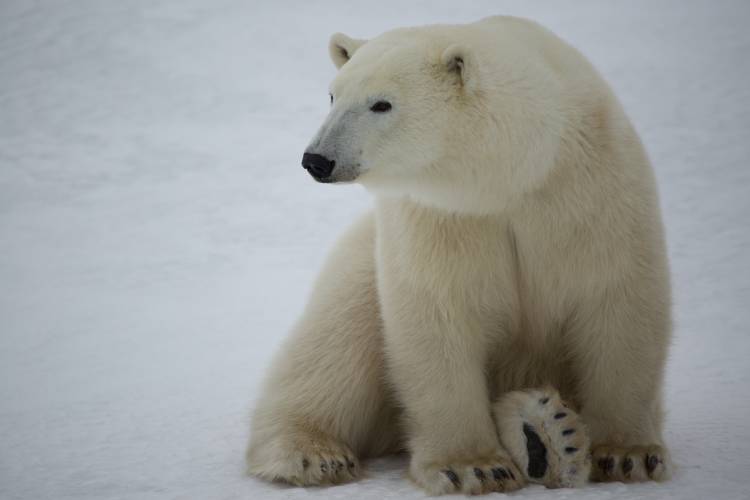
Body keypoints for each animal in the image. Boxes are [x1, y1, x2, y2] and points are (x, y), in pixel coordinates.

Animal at [250, 15, 672, 496]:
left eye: (382, 104)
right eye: (333, 95)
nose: (317, 160)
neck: (519, 173)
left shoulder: (595, 193)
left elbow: (619, 304)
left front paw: (627, 455)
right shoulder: (443, 218)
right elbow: (439, 316)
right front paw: (474, 467)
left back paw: (547, 434)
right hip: (361, 260)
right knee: (338, 339)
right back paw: (314, 454)